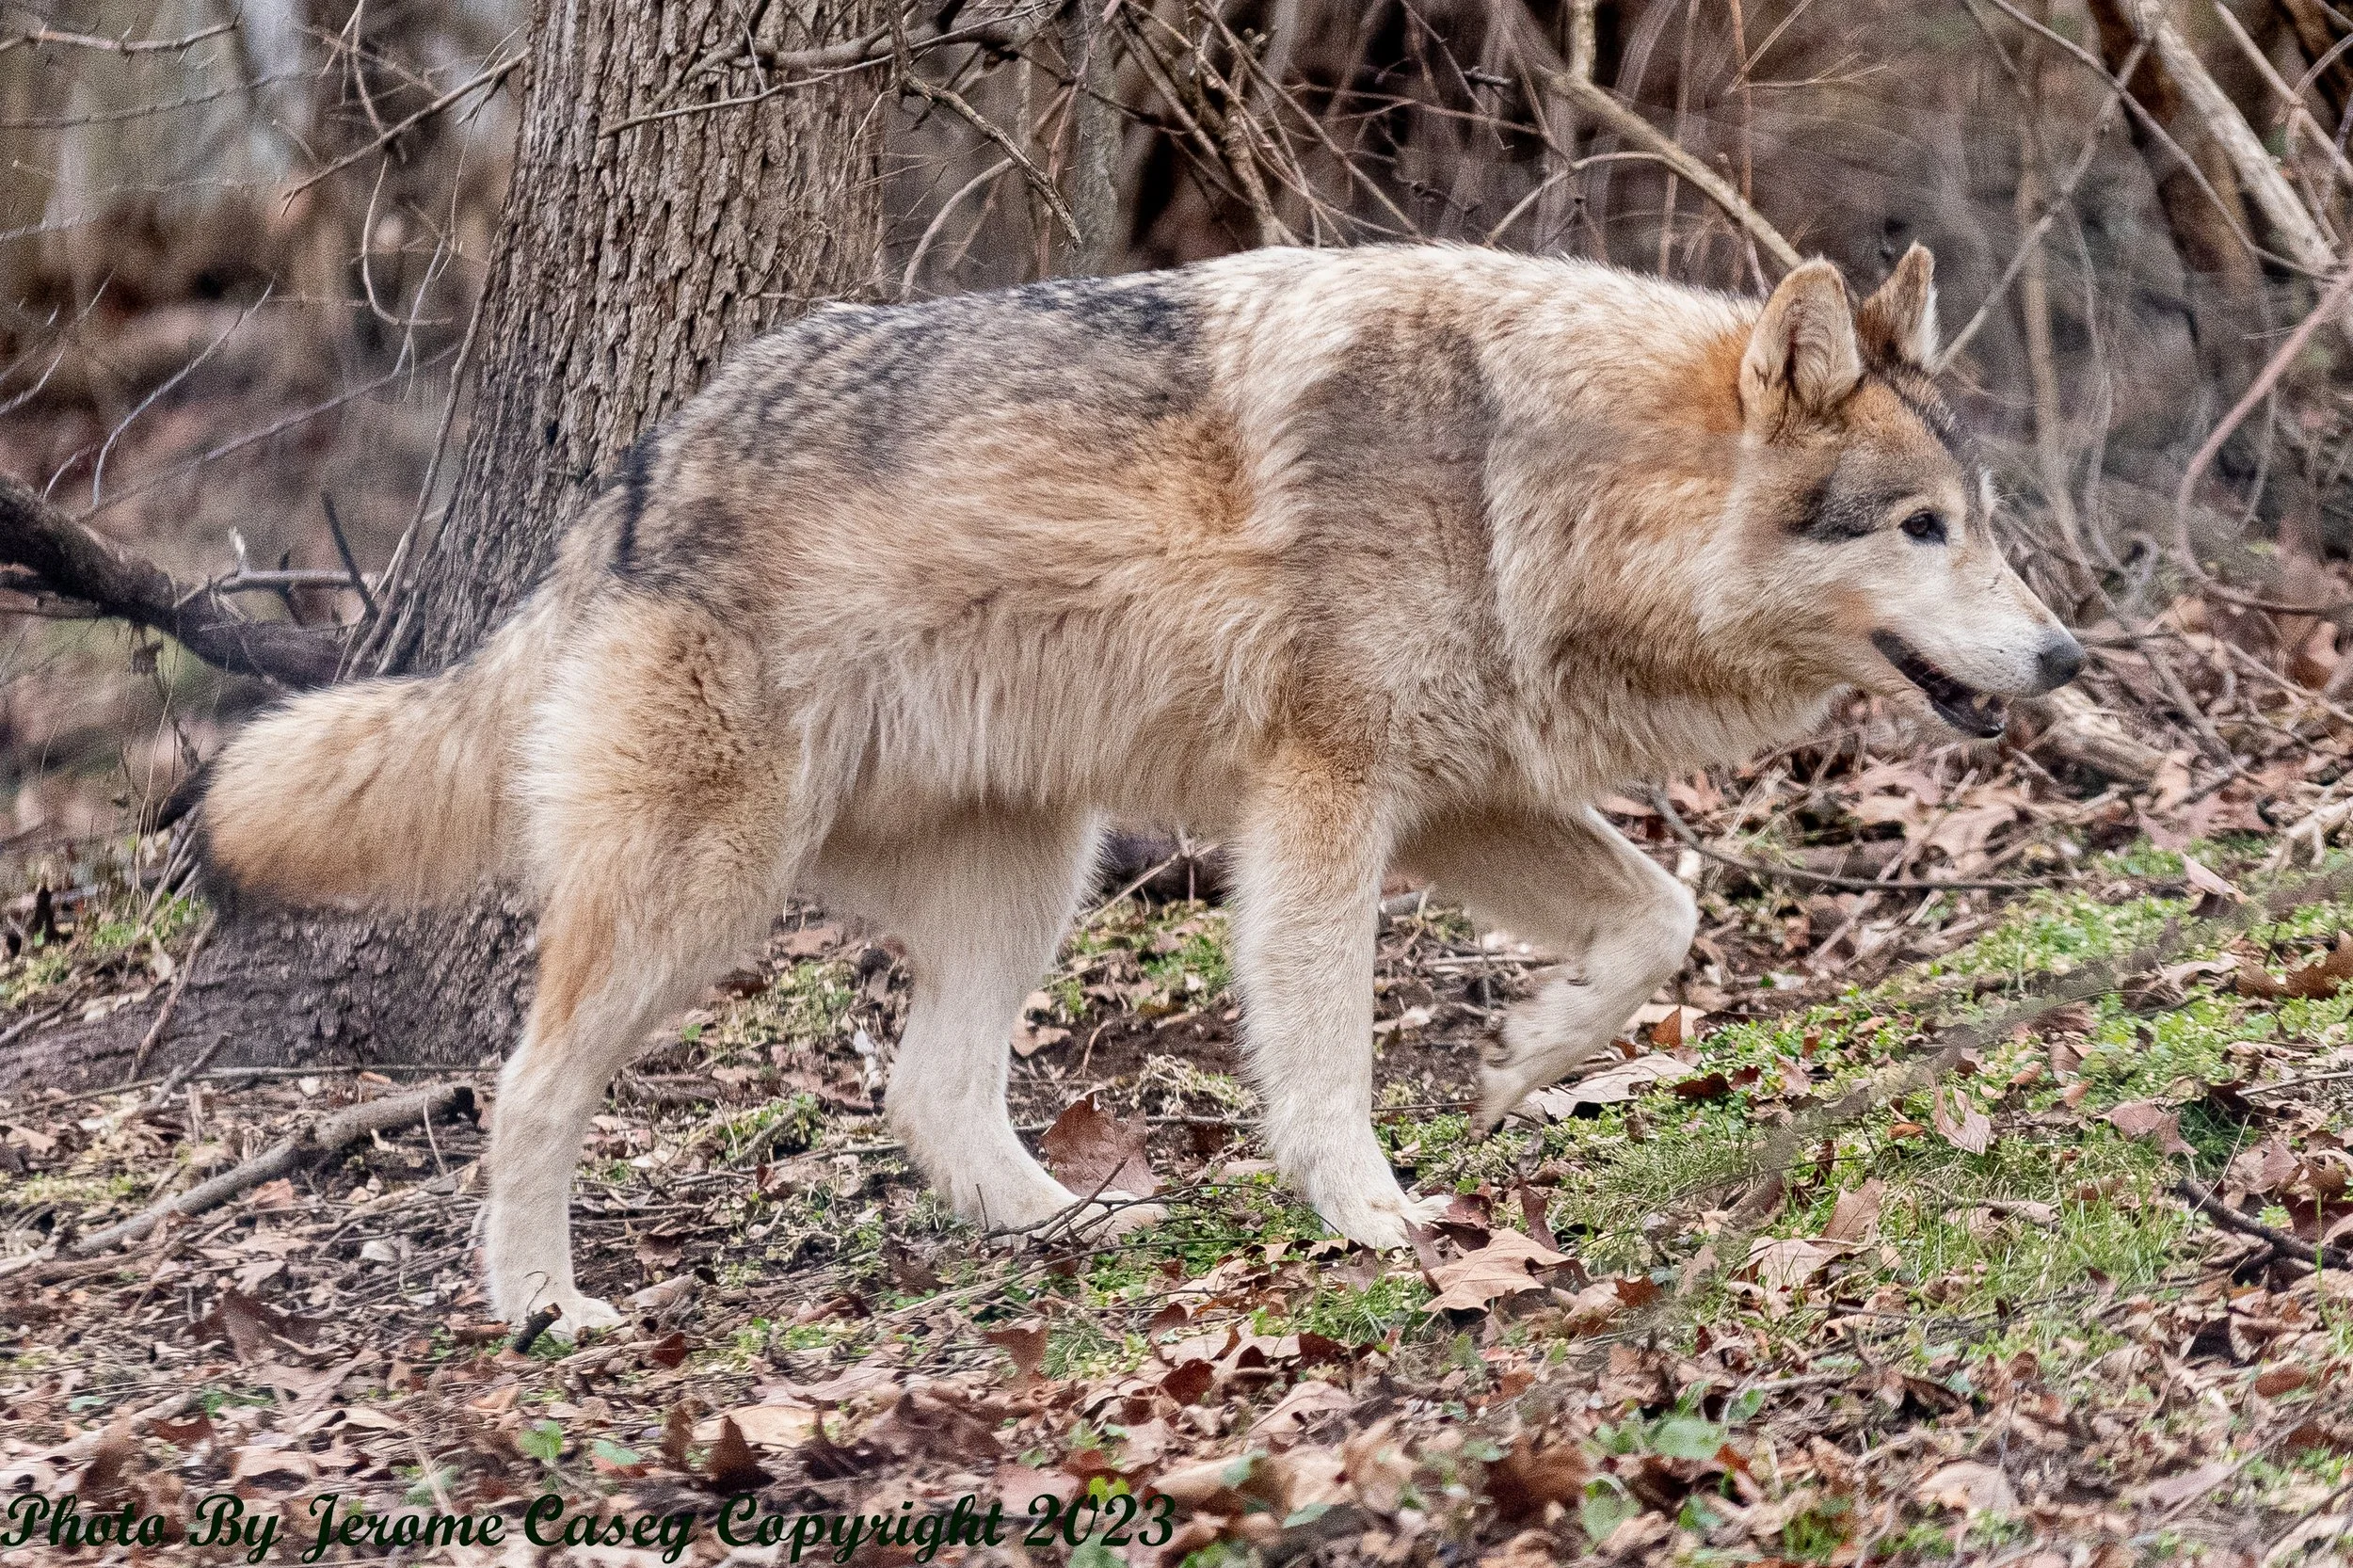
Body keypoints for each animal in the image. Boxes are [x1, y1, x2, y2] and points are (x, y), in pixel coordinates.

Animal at [200, 242, 2082, 1331]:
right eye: (1924, 529)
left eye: (1982, 523)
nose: (2066, 659)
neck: (1526, 469)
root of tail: (640, 472)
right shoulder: (1326, 800)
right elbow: (1322, 1050)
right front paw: (1377, 1214)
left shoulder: (1461, 800)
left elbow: (1662, 922)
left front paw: (1527, 1056)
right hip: (705, 893)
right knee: (529, 1089)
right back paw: (542, 1308)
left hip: (1035, 873)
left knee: (928, 1090)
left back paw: (1068, 1224)